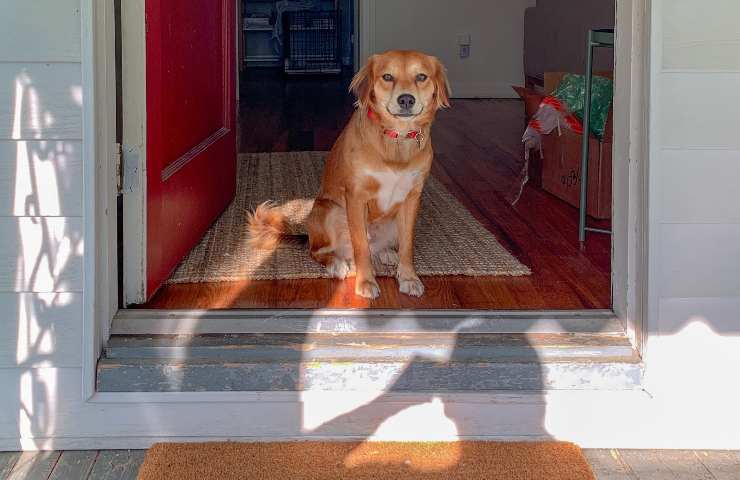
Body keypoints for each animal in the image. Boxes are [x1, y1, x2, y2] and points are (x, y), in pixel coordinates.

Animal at [249, 50, 448, 298]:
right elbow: (360, 245)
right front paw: (366, 282)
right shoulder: (356, 197)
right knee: (319, 251)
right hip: (329, 211)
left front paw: (408, 277)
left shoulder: (412, 198)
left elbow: (407, 244)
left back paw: (386, 253)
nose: (406, 100)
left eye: (421, 77)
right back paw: (338, 264)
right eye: (387, 77)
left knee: (377, 247)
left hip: (391, 219)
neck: (396, 139)